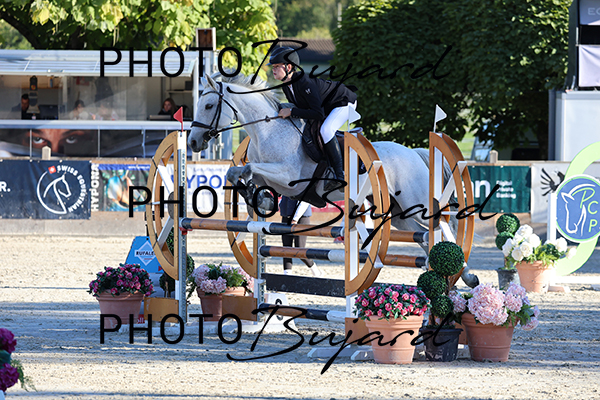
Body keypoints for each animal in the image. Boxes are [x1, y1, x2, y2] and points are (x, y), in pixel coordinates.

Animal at [188, 72, 478, 287]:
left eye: (209, 106)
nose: (192, 142)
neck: (267, 130)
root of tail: (414, 153)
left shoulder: (289, 177)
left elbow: (247, 169)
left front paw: (258, 197)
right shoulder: (274, 177)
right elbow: (236, 173)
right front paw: (259, 199)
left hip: (414, 202)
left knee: (443, 226)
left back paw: (467, 275)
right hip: (399, 215)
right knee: (425, 237)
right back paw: (448, 274)